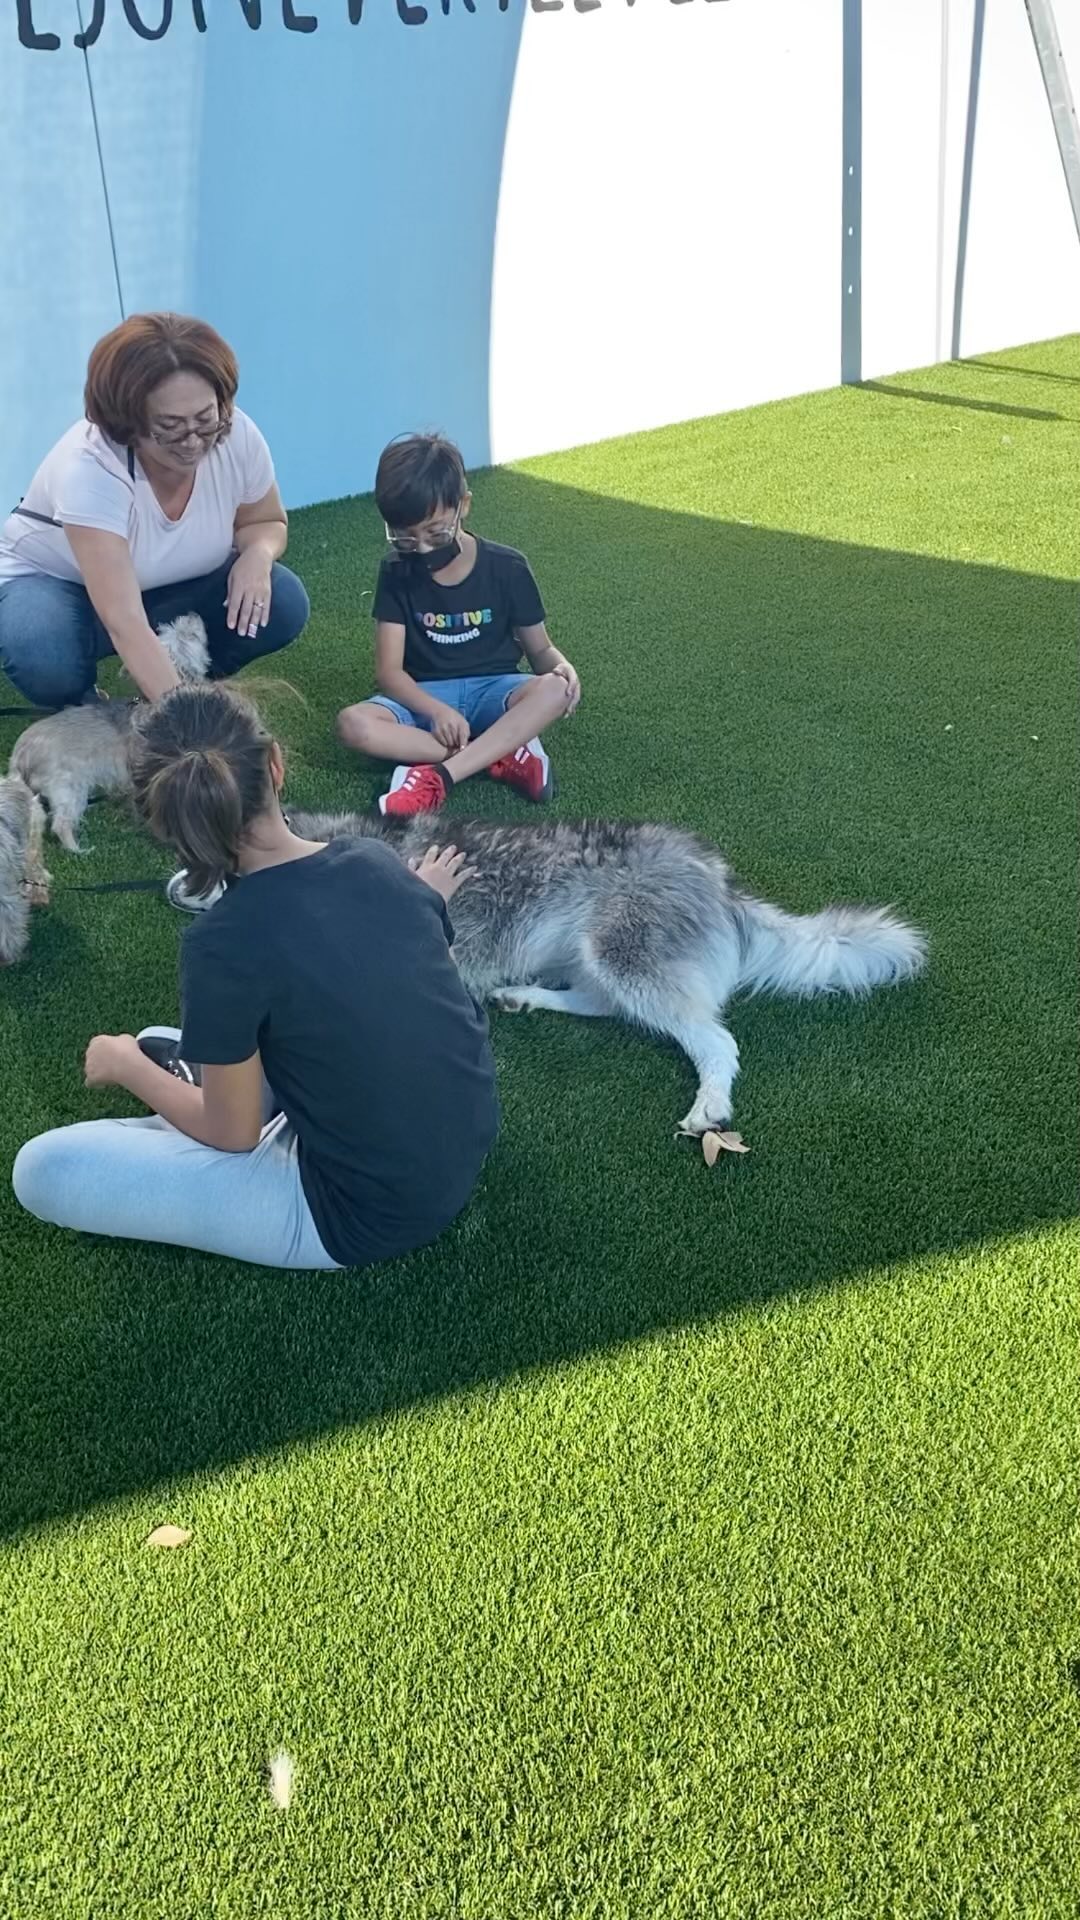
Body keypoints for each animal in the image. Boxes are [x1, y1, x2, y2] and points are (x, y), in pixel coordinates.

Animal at [8, 614, 208, 856]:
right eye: (188, 634)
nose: (192, 615)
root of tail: (20, 753)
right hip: (69, 784)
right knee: (60, 823)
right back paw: (79, 850)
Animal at [288, 802, 926, 1128]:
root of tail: (721, 882)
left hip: (621, 956)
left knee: (717, 1043)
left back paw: (709, 1108)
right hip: (597, 959)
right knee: (600, 1004)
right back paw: (523, 995)